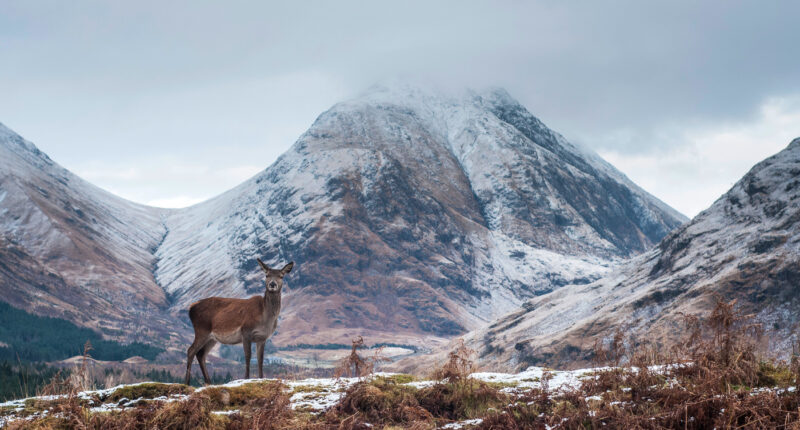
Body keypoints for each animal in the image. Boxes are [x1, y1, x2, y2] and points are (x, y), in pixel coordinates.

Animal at [184, 256, 294, 384]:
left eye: (281, 276)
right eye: (266, 275)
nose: (272, 284)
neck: (265, 318)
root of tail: (191, 308)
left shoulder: (262, 337)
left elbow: (260, 358)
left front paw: (261, 378)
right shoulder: (245, 331)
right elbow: (248, 356)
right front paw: (246, 378)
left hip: (212, 338)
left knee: (201, 354)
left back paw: (209, 382)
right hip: (201, 329)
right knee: (191, 350)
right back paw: (187, 382)